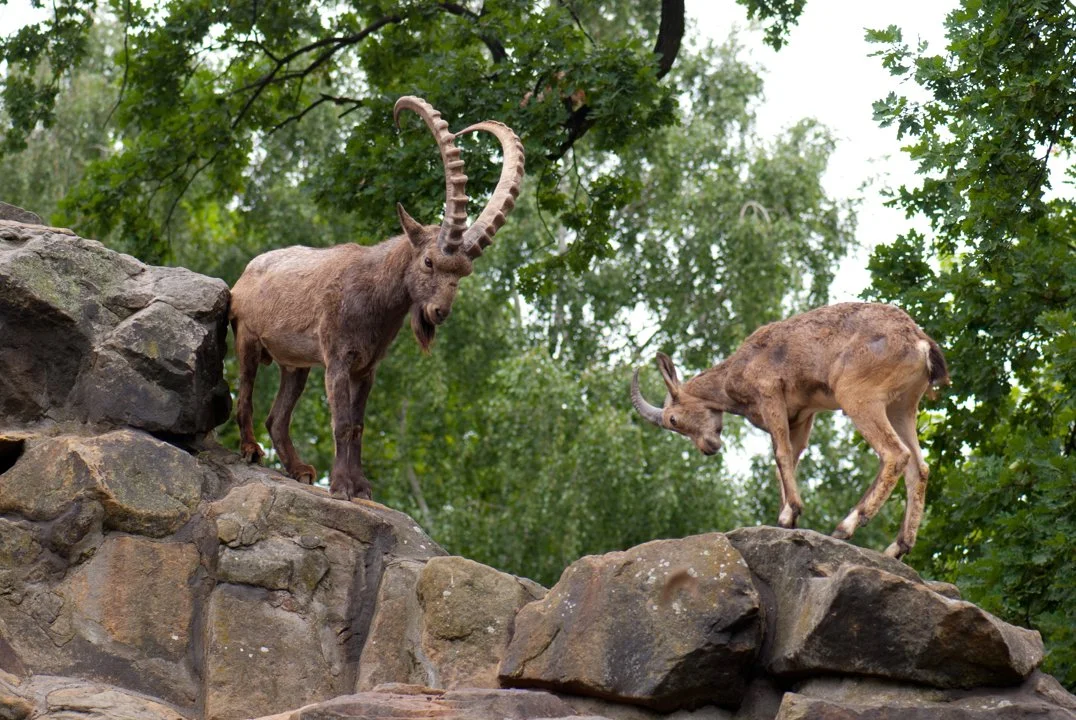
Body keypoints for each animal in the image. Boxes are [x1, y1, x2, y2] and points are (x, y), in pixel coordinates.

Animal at [229, 97, 524, 500]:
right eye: (429, 261)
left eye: (464, 273)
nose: (440, 312)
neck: (373, 295)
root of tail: (243, 277)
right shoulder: (338, 360)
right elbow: (341, 423)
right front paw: (341, 486)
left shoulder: (366, 369)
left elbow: (358, 427)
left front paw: (362, 488)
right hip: (247, 339)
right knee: (244, 395)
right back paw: (250, 450)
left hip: (296, 364)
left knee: (277, 418)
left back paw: (300, 469)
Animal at [631, 302, 949, 558]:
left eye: (673, 420)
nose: (708, 447)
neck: (735, 370)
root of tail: (921, 343)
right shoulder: (801, 416)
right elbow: (790, 460)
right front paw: (787, 518)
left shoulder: (770, 395)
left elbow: (781, 454)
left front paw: (790, 513)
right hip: (902, 406)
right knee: (919, 467)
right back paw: (897, 547)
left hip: (858, 396)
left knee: (895, 454)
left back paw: (845, 527)